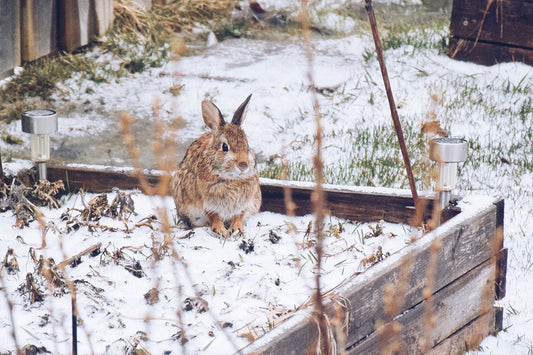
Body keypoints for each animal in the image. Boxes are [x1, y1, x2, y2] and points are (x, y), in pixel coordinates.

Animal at [170, 96, 262, 238]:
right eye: (224, 147)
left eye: (247, 147)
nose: (243, 165)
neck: (231, 179)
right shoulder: (206, 202)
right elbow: (214, 215)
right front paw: (220, 231)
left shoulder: (245, 202)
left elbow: (238, 215)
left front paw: (236, 230)